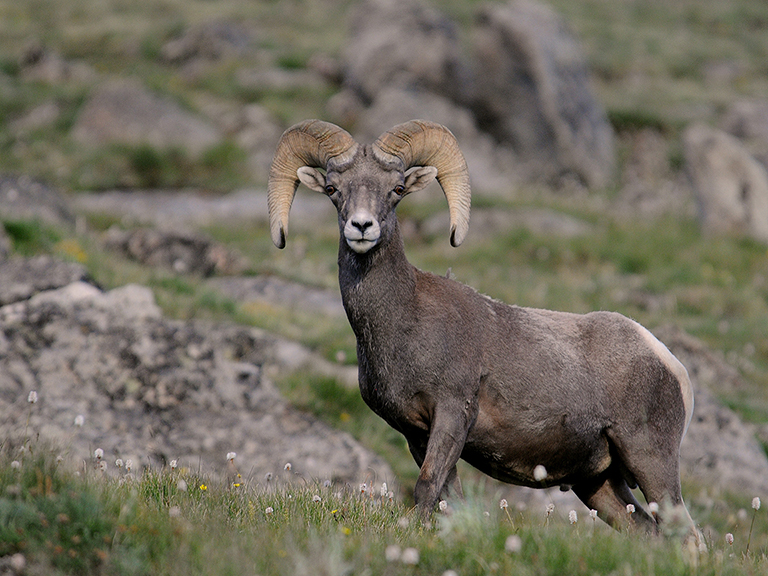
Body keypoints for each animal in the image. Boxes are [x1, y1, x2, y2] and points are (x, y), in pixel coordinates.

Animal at [267, 119, 698, 536]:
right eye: (333, 189)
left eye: (397, 189)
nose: (361, 226)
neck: (404, 320)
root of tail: (668, 362)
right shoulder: (416, 433)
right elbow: (448, 498)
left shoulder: (452, 414)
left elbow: (427, 487)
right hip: (597, 484)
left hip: (650, 460)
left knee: (688, 536)